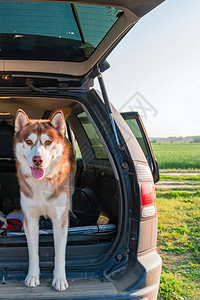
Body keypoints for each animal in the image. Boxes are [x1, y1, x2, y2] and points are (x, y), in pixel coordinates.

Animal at [13, 109, 76, 292]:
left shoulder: (60, 220)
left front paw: (60, 279)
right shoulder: (30, 219)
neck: (41, 183)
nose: (37, 160)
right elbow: (33, 253)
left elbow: (59, 254)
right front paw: (33, 276)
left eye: (48, 142)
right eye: (28, 141)